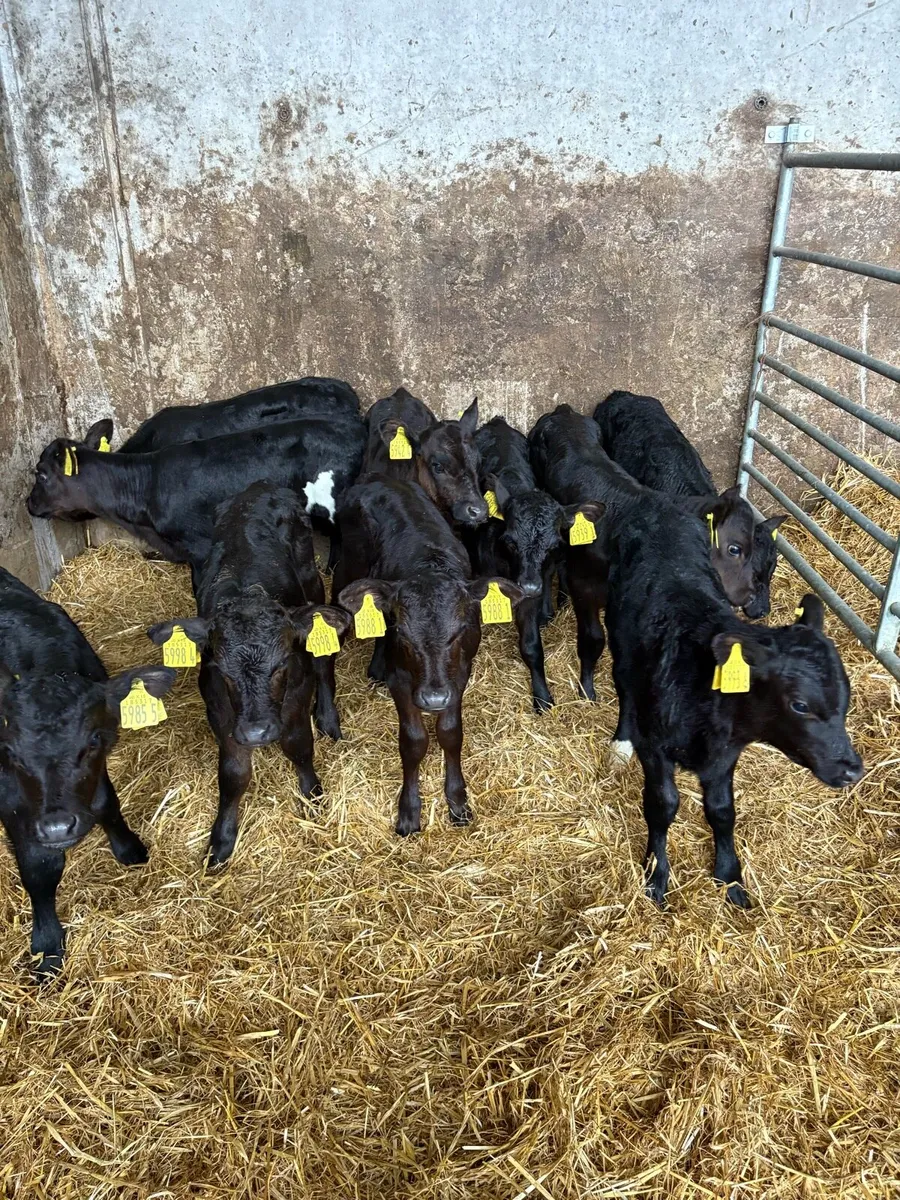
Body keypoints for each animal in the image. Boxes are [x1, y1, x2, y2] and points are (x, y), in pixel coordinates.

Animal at [0, 567, 175, 976]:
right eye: (11, 752)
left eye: (93, 739)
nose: (57, 827)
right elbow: (39, 868)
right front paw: (47, 946)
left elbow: (106, 802)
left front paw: (129, 847)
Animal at [146, 484, 349, 866]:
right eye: (224, 671)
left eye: (281, 664)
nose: (256, 732)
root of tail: (262, 487)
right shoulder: (219, 708)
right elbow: (234, 773)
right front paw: (222, 839)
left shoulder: (297, 692)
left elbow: (298, 744)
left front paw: (312, 794)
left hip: (312, 581)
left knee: (323, 656)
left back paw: (328, 718)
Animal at [333, 476, 522, 835]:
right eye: (404, 634)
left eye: (459, 631)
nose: (434, 698)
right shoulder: (401, 678)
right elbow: (414, 740)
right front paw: (409, 811)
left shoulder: (459, 673)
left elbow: (450, 733)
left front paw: (458, 801)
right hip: (347, 566)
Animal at [600, 478, 863, 909]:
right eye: (800, 705)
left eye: (846, 700)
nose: (852, 769)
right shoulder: (655, 748)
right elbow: (662, 805)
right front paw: (656, 875)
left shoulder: (725, 755)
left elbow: (722, 810)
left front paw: (729, 875)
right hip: (619, 637)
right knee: (623, 683)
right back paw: (621, 741)